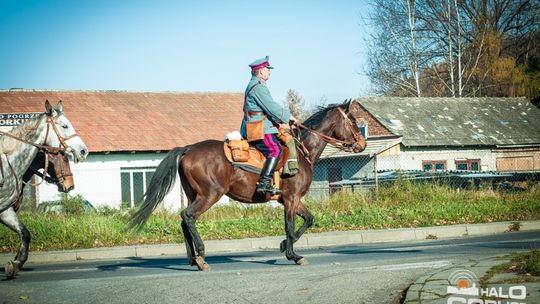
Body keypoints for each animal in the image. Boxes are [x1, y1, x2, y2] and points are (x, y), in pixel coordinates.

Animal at [130, 100, 368, 270]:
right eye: (353, 121)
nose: (362, 143)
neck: (302, 152)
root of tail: (188, 149)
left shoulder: (291, 200)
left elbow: (308, 219)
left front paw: (285, 246)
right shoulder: (291, 199)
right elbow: (290, 226)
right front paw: (293, 254)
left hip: (193, 195)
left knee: (184, 221)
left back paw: (193, 258)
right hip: (210, 195)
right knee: (188, 216)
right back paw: (201, 256)